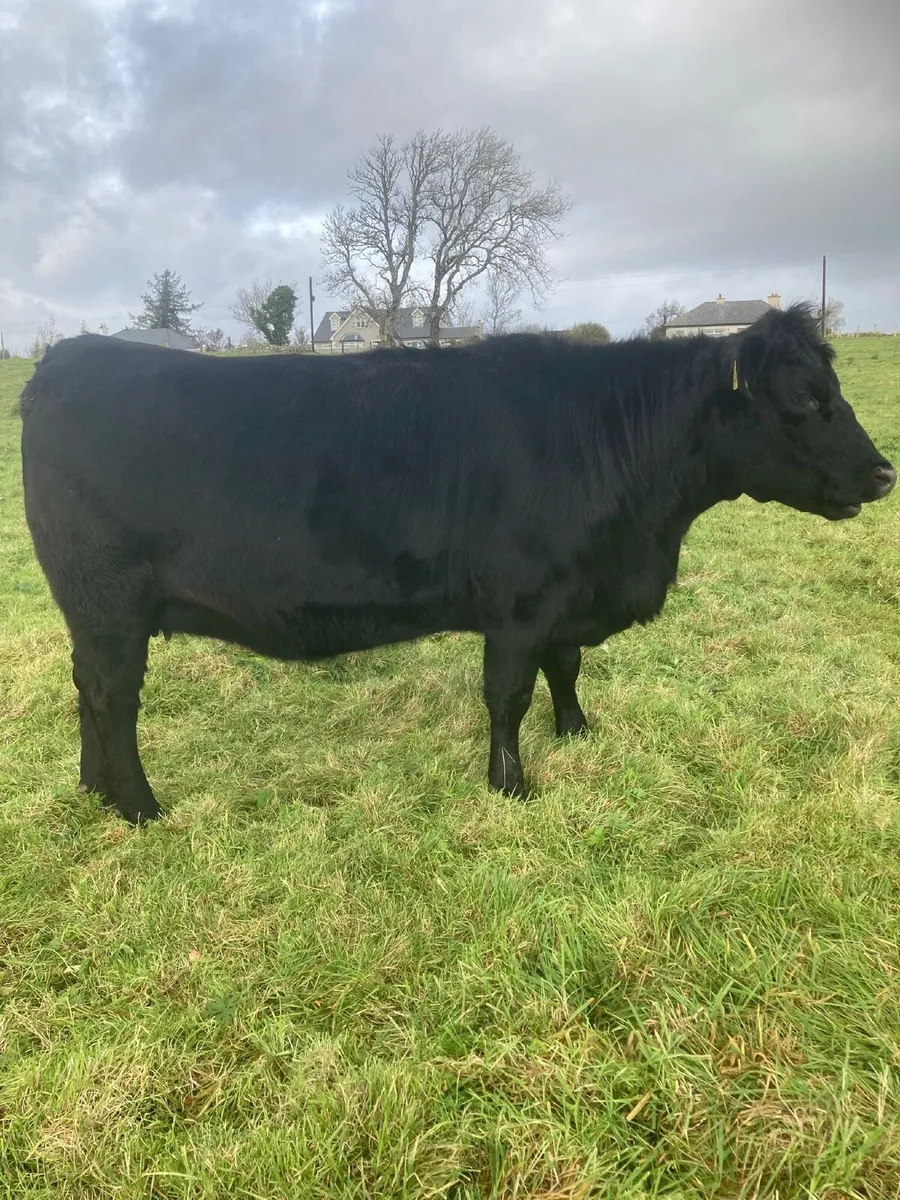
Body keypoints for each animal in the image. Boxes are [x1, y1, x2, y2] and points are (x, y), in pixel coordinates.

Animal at [19, 303, 896, 824]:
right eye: (804, 398)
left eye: (833, 387)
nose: (885, 473)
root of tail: (65, 360)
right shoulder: (519, 601)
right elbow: (507, 693)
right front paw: (512, 782)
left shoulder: (565, 595)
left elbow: (565, 667)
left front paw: (576, 731)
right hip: (109, 600)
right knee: (113, 696)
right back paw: (140, 805)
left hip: (91, 613)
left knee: (88, 689)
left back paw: (95, 788)